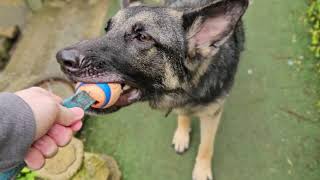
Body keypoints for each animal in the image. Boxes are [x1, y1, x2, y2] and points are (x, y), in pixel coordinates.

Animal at [56, 0, 249, 179]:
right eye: (107, 29)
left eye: (142, 37)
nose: (61, 59)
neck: (187, 89)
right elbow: (183, 115)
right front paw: (182, 133)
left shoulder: (212, 114)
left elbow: (206, 146)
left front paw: (201, 170)